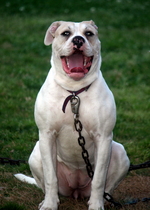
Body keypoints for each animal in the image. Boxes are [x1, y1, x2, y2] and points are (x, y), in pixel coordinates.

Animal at [15, 20, 130, 210]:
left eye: (89, 33)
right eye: (66, 33)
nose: (78, 40)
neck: (75, 91)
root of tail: (76, 190)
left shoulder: (103, 137)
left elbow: (99, 179)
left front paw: (96, 205)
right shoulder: (47, 135)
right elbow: (50, 178)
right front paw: (50, 205)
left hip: (119, 152)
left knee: (105, 186)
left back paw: (104, 200)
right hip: (36, 154)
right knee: (45, 183)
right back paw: (47, 199)